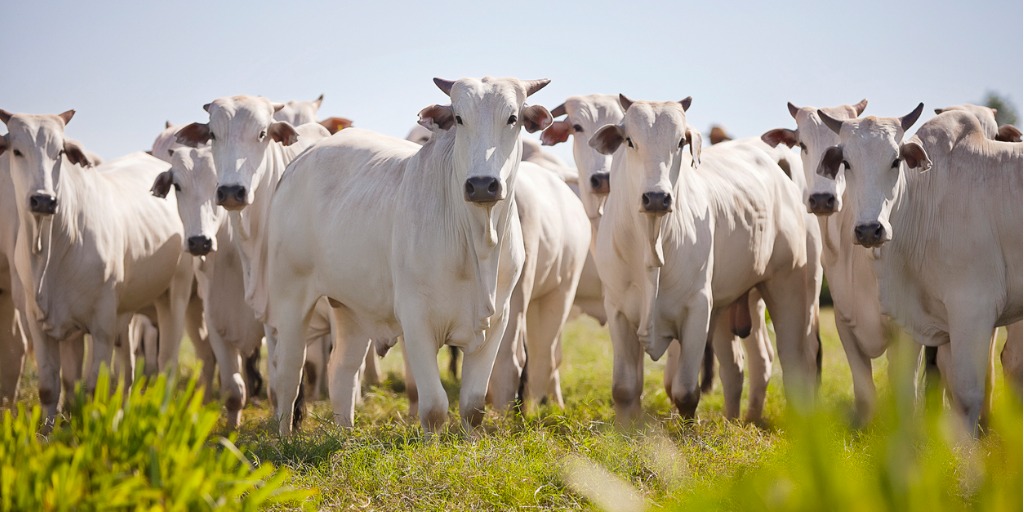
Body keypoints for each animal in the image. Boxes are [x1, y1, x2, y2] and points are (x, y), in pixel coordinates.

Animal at [0, 109, 193, 419]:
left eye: (59, 152)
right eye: (17, 151)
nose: (43, 199)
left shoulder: (101, 325)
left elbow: (93, 389)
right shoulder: (40, 322)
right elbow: (53, 387)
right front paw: (50, 428)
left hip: (175, 293)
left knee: (166, 363)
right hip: (126, 311)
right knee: (127, 368)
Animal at [264, 75, 552, 436]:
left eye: (513, 118)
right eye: (459, 118)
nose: (482, 184)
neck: (478, 241)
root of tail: (300, 162)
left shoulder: (497, 320)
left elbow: (473, 407)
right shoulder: (416, 320)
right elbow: (434, 407)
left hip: (350, 307)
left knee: (341, 369)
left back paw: (346, 435)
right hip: (289, 298)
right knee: (287, 374)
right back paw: (284, 437)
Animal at [593, 97, 815, 421]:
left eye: (680, 142)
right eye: (630, 141)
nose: (657, 197)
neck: (651, 244)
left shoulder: (698, 307)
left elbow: (685, 392)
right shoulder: (617, 309)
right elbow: (624, 389)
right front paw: (625, 428)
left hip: (788, 286)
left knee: (792, 361)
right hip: (731, 304)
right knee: (741, 366)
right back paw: (739, 420)